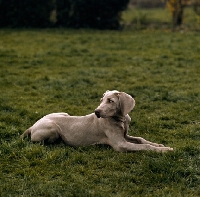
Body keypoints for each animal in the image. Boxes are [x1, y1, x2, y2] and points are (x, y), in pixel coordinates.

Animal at [21, 89, 173, 152]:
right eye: (101, 100)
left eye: (110, 101)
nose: (97, 112)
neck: (121, 119)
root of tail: (32, 126)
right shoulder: (120, 144)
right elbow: (144, 147)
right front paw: (165, 150)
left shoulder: (125, 136)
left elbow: (141, 140)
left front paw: (159, 145)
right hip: (53, 128)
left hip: (64, 113)